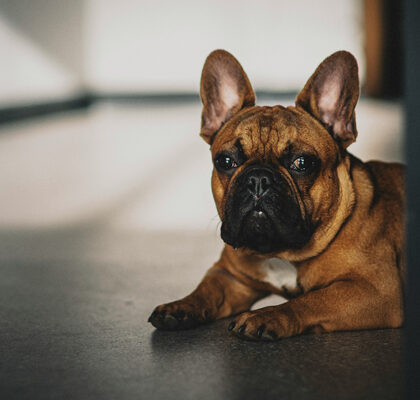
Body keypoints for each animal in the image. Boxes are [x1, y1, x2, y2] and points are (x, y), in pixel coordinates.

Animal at [147, 48, 404, 340]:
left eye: (302, 163)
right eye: (225, 161)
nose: (259, 179)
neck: (281, 254)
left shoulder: (376, 291)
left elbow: (310, 300)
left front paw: (266, 316)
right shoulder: (230, 277)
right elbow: (206, 290)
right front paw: (180, 306)